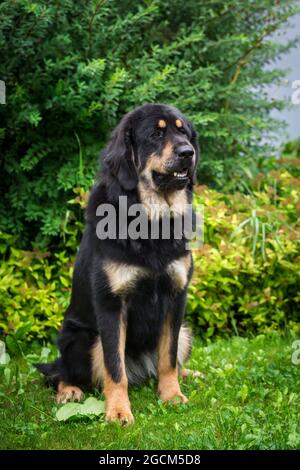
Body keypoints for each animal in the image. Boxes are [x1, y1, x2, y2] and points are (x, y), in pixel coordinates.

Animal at [36, 103, 200, 426]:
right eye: (156, 134)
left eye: (184, 132)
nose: (188, 152)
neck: (151, 223)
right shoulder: (112, 304)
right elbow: (114, 367)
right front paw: (118, 411)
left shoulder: (176, 298)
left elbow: (168, 357)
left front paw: (172, 395)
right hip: (79, 338)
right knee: (61, 371)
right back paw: (69, 391)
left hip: (186, 331)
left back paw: (188, 373)